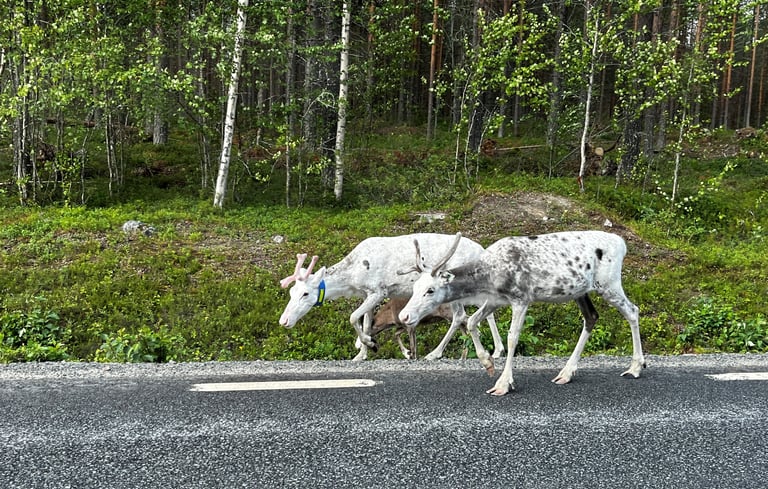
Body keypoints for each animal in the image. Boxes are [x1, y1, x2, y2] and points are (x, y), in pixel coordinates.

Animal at [278, 233, 505, 361]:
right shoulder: (368, 294)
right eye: (291, 292)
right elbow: (366, 321)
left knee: (460, 316)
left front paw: (368, 344)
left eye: (305, 293)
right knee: (485, 311)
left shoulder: (378, 291)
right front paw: (361, 354)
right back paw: (497, 350)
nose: (284, 320)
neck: (351, 279)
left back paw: (435, 353)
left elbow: (353, 317)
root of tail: (483, 251)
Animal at [398, 231, 645, 396]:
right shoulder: (495, 300)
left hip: (609, 283)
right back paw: (566, 372)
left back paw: (635, 367)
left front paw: (503, 383)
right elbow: (471, 323)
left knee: (633, 310)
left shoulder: (521, 298)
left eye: (430, 290)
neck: (489, 277)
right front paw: (488, 363)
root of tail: (622, 244)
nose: (404, 316)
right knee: (591, 317)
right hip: (581, 290)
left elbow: (512, 337)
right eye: (415, 287)